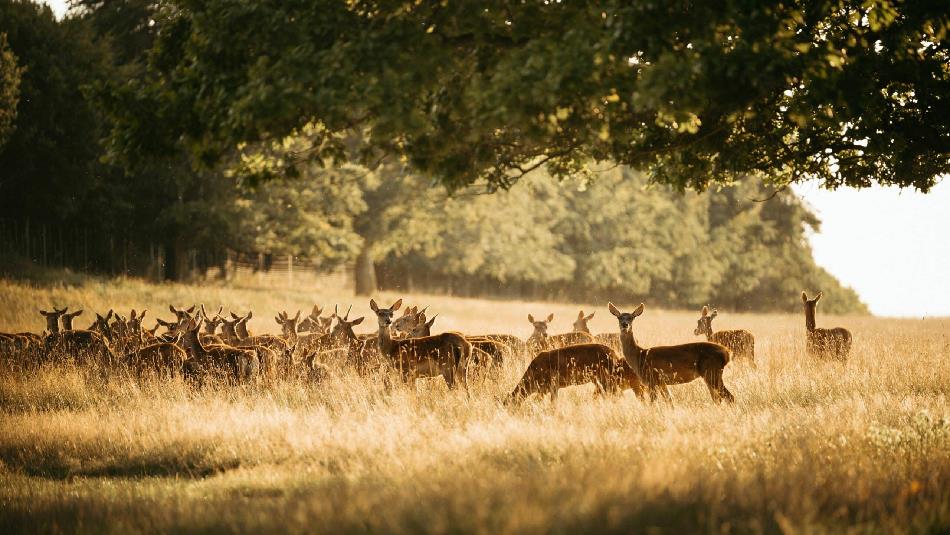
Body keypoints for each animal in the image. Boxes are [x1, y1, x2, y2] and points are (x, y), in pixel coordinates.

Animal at [608, 304, 736, 404]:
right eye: (619, 317)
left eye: (632, 317)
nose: (625, 324)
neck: (639, 356)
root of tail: (726, 353)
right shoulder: (662, 382)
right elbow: (670, 401)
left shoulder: (651, 379)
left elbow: (653, 403)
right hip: (711, 374)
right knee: (719, 399)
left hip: (712, 371)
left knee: (730, 397)